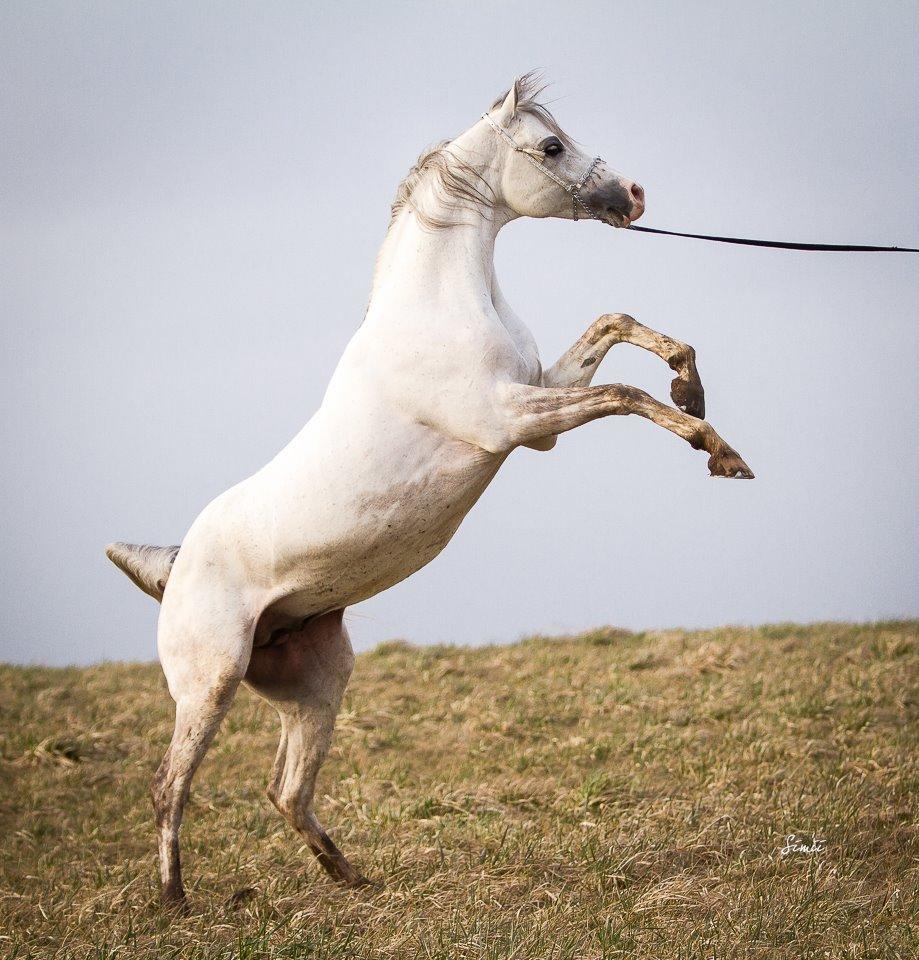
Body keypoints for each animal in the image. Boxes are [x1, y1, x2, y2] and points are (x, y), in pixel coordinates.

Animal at [108, 75, 756, 908]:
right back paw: (176, 901)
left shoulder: (537, 402)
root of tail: (173, 566)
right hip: (208, 683)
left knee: (286, 790)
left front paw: (691, 387)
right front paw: (717, 450)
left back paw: (353, 880)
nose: (634, 194)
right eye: (550, 146)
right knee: (170, 786)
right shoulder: (512, 419)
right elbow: (622, 391)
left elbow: (616, 325)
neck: (440, 307)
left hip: (314, 681)